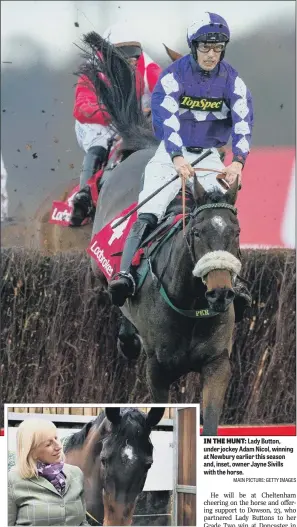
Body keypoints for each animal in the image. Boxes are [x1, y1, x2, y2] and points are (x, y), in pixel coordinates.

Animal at [76, 34, 240, 438]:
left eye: (236, 232)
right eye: (195, 232)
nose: (221, 292)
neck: (192, 305)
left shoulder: (217, 364)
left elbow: (211, 422)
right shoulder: (159, 368)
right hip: (100, 261)